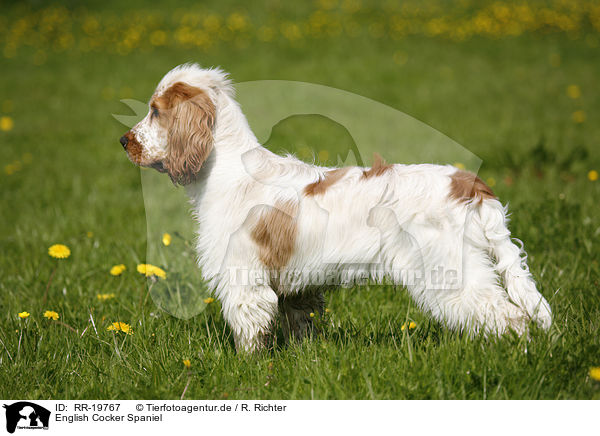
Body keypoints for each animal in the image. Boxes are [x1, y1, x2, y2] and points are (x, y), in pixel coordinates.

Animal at [118, 63, 552, 352]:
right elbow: (300, 325)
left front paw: (248, 370)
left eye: (155, 111)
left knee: (509, 316)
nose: (123, 141)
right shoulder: (297, 289)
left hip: (451, 274)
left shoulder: (243, 279)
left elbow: (249, 334)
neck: (227, 170)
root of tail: (470, 185)